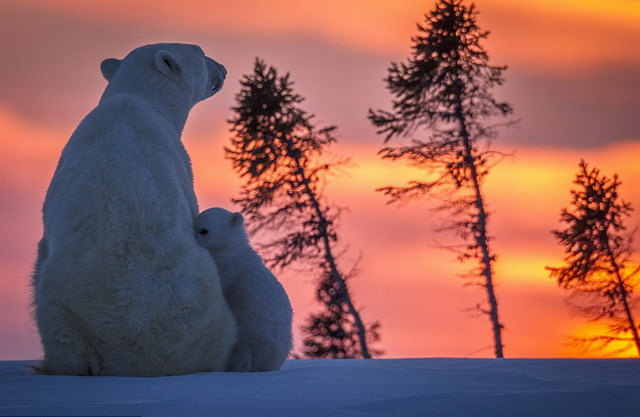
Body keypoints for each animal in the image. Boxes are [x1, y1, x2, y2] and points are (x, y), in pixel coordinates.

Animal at [33, 44, 238, 376]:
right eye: (200, 52)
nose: (223, 69)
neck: (134, 98)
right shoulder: (179, 160)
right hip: (207, 308)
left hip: (61, 309)